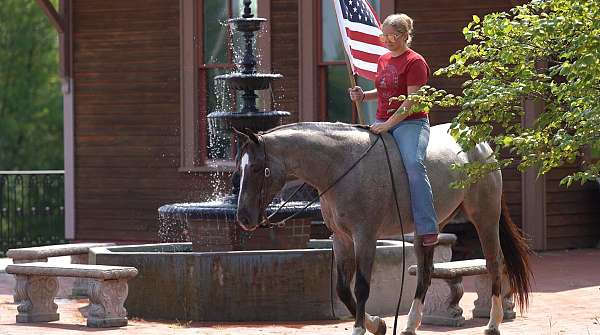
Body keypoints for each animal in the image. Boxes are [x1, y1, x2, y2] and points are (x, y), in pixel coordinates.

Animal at [234, 122, 528, 335]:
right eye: (240, 167)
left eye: (257, 168)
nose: (244, 218)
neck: (341, 166)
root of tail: (481, 145)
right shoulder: (341, 239)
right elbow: (342, 289)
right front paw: (378, 324)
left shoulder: (365, 237)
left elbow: (362, 286)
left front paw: (361, 328)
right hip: (429, 230)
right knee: (425, 273)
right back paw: (410, 325)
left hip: (485, 217)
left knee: (494, 263)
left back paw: (493, 323)